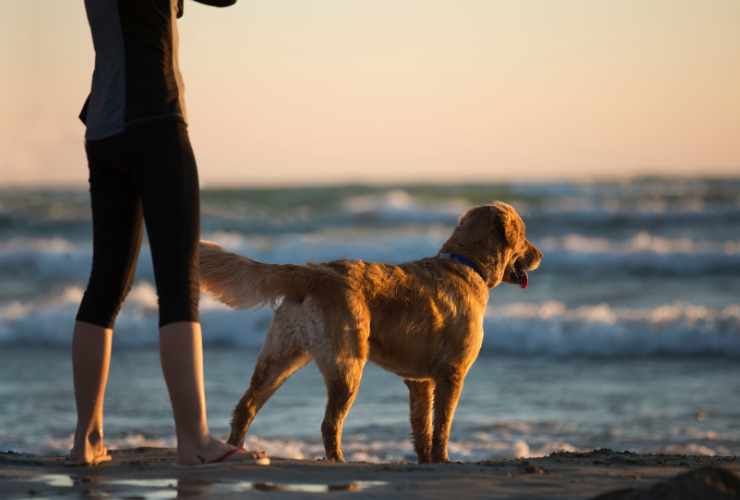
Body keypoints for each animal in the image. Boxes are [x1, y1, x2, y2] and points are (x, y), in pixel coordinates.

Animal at [199, 201, 540, 462]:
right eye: (524, 235)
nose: (540, 256)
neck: (466, 265)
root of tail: (313, 272)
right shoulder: (452, 374)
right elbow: (442, 425)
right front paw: (442, 459)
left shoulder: (420, 381)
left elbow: (422, 426)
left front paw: (425, 460)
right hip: (347, 365)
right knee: (329, 424)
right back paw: (337, 460)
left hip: (281, 357)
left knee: (246, 406)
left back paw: (236, 450)